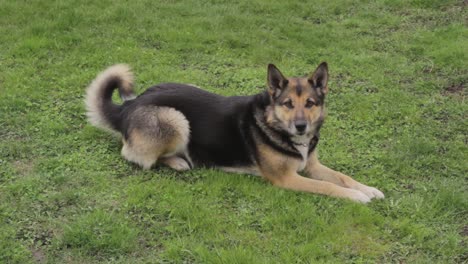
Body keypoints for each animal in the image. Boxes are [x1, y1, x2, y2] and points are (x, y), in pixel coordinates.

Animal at [84, 63, 384, 203]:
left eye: (310, 104)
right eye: (288, 104)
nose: (301, 127)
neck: (275, 124)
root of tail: (129, 106)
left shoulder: (311, 165)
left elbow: (342, 177)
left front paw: (368, 189)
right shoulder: (287, 178)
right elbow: (327, 186)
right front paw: (357, 197)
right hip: (176, 119)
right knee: (135, 155)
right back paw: (179, 162)